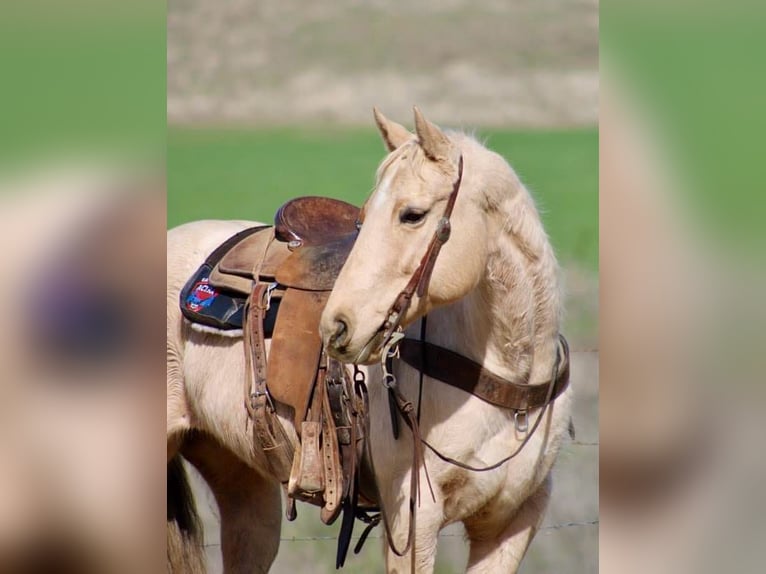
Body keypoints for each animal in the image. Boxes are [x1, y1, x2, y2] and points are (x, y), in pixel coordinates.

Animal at [166, 108, 572, 574]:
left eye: (412, 214)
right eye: (363, 218)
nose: (336, 326)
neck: (506, 375)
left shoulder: (512, 523)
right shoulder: (413, 522)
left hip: (241, 479)